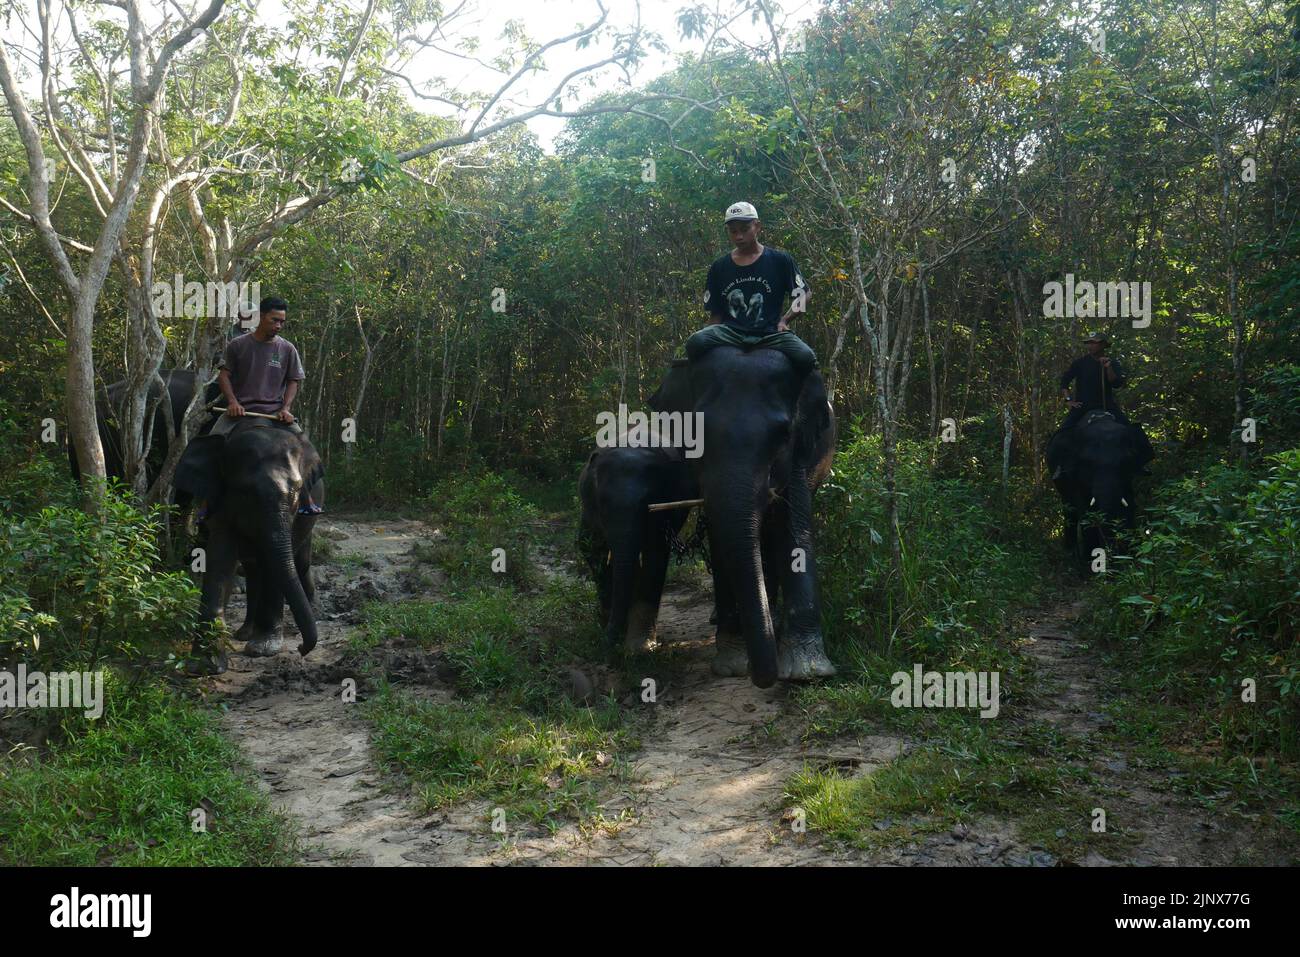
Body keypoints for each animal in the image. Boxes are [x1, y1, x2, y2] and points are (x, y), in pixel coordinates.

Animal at [174, 418, 327, 670]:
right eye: (246, 492)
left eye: (297, 491)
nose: (301, 648)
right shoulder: (219, 502)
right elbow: (219, 560)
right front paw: (204, 666)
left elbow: (275, 565)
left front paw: (263, 649)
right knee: (254, 569)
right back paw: (245, 633)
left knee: (300, 562)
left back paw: (313, 610)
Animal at [579, 439, 702, 650]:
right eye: (602, 504)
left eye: (648, 504)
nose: (607, 641)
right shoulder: (589, 512)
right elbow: (591, 550)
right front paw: (608, 631)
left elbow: (655, 557)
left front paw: (640, 647)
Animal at [647, 351, 837, 686]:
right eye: (692, 435)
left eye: (784, 435)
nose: (763, 677)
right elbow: (721, 536)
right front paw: (732, 665)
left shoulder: (801, 454)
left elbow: (793, 528)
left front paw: (807, 672)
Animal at [1045, 408, 1149, 564]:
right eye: (1088, 463)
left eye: (1125, 462)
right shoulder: (1075, 476)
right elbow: (1085, 513)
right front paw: (1090, 562)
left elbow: (1129, 507)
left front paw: (1127, 559)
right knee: (1069, 511)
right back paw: (1071, 554)